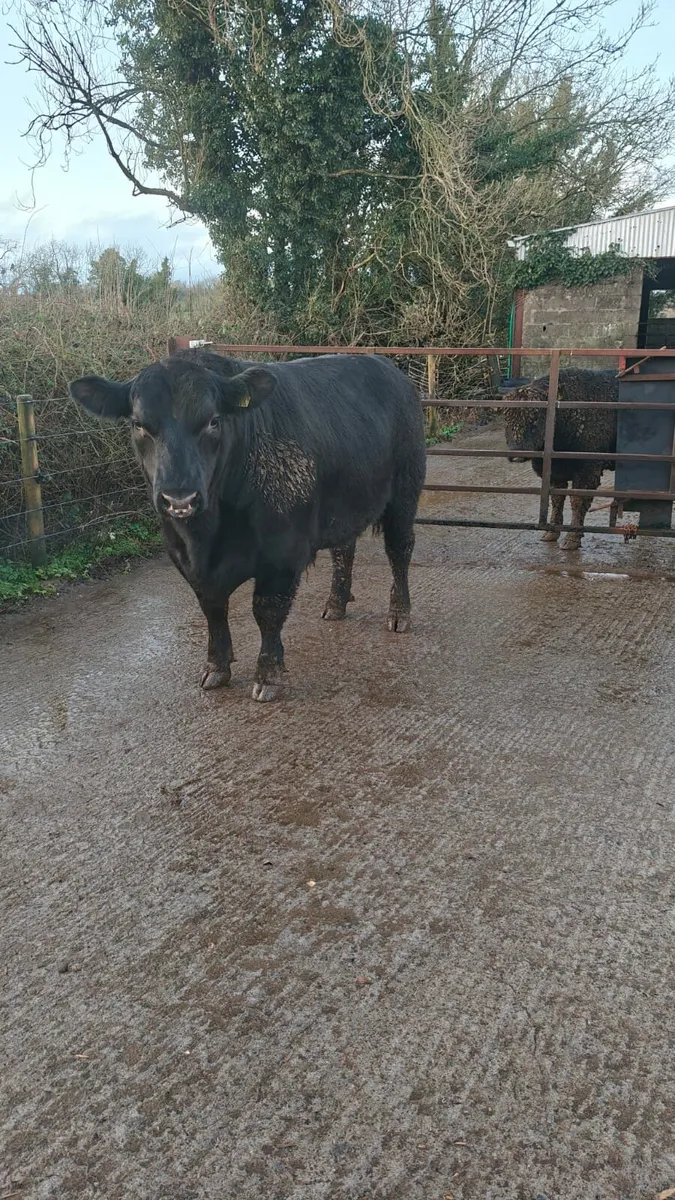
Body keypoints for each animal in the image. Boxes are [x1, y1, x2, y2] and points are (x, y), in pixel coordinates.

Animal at [69, 350, 426, 701]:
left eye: (214, 420)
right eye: (138, 424)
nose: (179, 498)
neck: (208, 538)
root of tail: (385, 365)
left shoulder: (283, 554)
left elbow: (266, 611)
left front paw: (267, 677)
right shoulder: (184, 557)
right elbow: (212, 609)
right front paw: (216, 668)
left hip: (405, 492)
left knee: (399, 549)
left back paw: (399, 614)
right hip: (345, 507)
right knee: (343, 549)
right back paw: (336, 604)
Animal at [504, 368, 618, 550]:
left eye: (535, 416)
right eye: (506, 417)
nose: (516, 453)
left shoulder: (587, 470)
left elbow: (578, 501)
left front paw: (572, 538)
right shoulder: (554, 473)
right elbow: (557, 499)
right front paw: (551, 532)